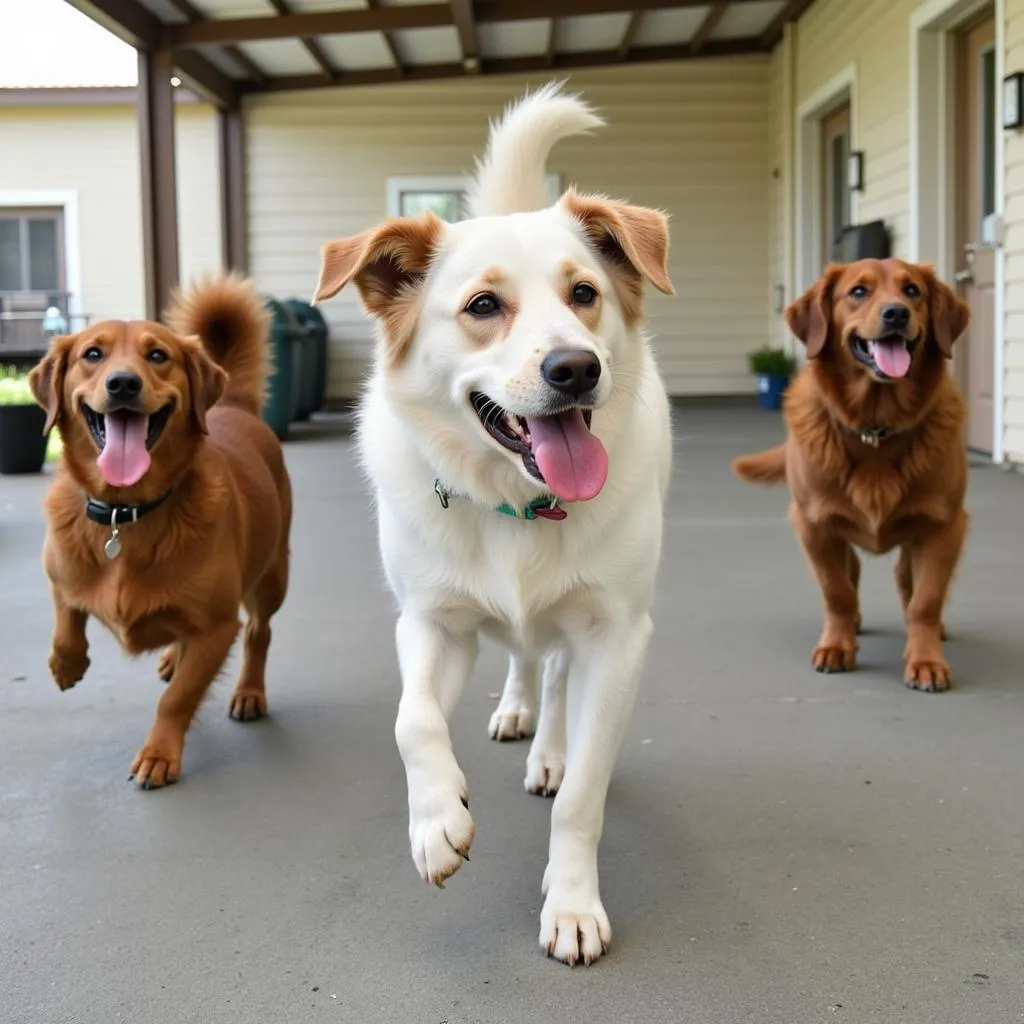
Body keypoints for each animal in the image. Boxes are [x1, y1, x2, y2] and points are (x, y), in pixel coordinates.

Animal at [29, 272, 292, 782]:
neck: (125, 513)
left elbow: (179, 698)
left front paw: (159, 753)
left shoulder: (217, 628)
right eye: (93, 353)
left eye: (158, 356)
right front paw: (66, 664)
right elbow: (66, 620)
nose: (123, 383)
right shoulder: (57, 574)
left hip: (272, 579)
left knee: (259, 632)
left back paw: (249, 690)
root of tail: (234, 406)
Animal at [315, 81, 675, 966]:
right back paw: (515, 711)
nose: (576, 367)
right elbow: (412, 720)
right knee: (521, 658)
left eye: (584, 294)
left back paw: (546, 745)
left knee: (554, 674)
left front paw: (572, 902)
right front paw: (437, 821)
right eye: (484, 306)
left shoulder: (616, 638)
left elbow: (583, 792)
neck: (516, 501)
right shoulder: (431, 624)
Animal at [737, 256, 966, 692]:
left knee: (908, 582)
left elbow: (925, 600)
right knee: (854, 574)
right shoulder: (813, 524)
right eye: (858, 291)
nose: (897, 313)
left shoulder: (945, 527)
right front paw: (836, 646)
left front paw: (926, 659)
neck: (875, 426)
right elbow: (837, 591)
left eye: (912, 291)